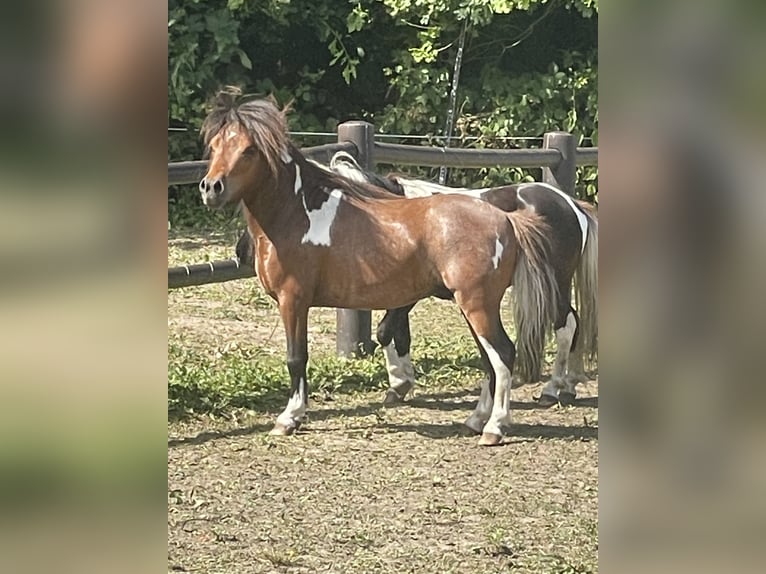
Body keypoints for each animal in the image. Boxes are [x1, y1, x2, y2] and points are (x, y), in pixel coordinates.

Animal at [199, 89, 560, 445]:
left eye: (249, 150)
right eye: (215, 145)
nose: (211, 188)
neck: (296, 214)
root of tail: (506, 220)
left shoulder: (293, 300)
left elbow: (296, 357)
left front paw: (290, 418)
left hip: (478, 304)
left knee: (502, 355)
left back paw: (494, 428)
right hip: (473, 306)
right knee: (490, 359)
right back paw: (474, 421)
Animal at [235, 154, 598, 407]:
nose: (242, 253)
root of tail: (571, 204)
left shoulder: (405, 296)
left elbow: (385, 331)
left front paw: (399, 383)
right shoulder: (402, 294)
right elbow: (397, 335)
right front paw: (400, 383)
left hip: (554, 284)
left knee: (565, 325)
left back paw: (553, 389)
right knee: (573, 323)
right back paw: (567, 387)